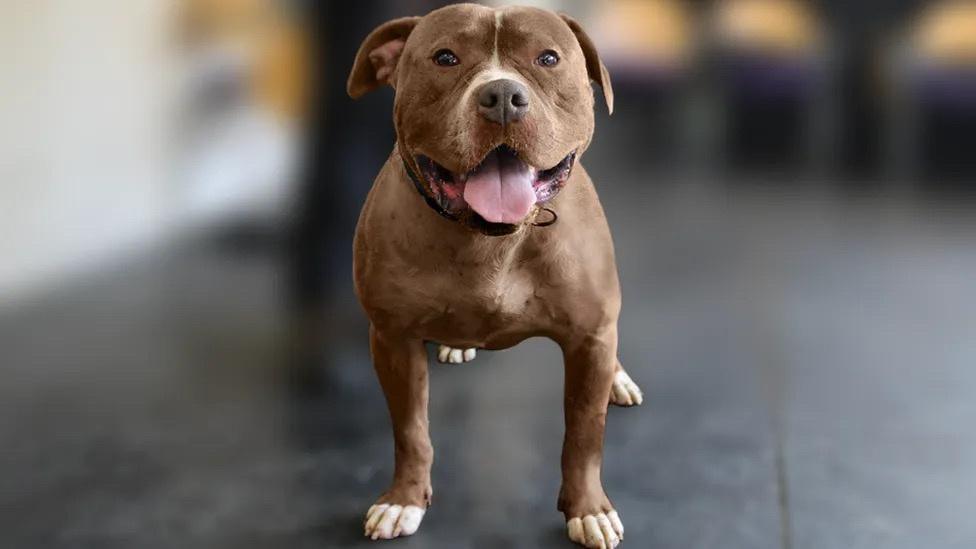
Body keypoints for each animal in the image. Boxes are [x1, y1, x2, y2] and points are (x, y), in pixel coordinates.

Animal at [348, 5, 640, 548]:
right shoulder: (392, 339)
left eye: (548, 58)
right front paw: (404, 500)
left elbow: (584, 434)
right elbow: (410, 430)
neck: (491, 238)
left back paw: (619, 378)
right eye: (445, 58)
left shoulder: (590, 336)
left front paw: (588, 509)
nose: (502, 95)